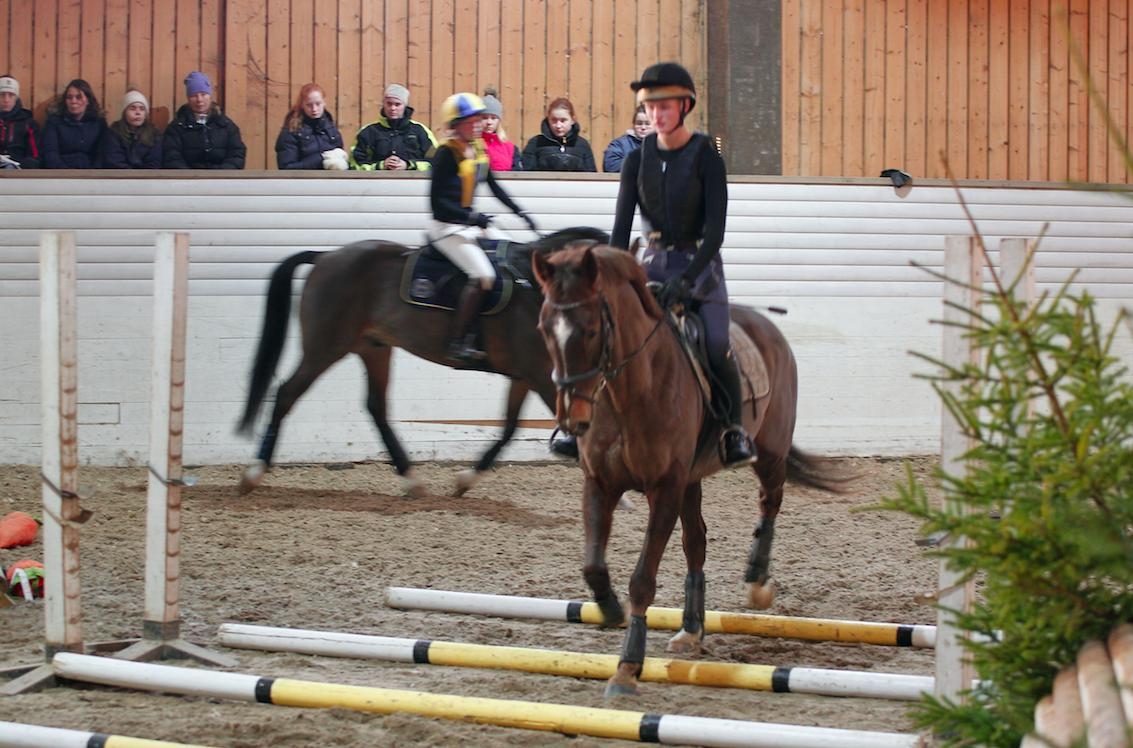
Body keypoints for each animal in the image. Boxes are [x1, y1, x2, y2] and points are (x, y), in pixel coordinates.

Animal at [237, 227, 607, 496]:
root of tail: (326, 256)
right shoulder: (540, 373)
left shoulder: (525, 375)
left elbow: (509, 428)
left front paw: (464, 481)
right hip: (326, 347)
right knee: (287, 393)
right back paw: (254, 474)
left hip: (374, 347)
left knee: (376, 407)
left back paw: (411, 479)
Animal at [532, 243, 852, 693]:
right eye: (545, 328)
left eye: (592, 330)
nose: (572, 419)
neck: (628, 393)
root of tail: (767, 327)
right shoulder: (601, 482)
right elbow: (593, 565)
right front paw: (609, 608)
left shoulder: (665, 487)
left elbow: (642, 580)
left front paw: (627, 667)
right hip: (692, 480)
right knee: (696, 542)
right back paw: (691, 629)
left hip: (768, 454)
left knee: (769, 501)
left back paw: (757, 582)